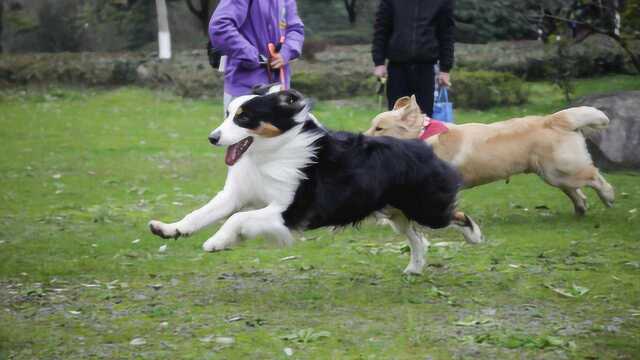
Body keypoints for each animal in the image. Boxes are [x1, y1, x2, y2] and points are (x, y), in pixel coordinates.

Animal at [364, 95, 616, 215]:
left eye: (379, 128)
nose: (361, 139)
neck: (422, 138)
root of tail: (555, 118)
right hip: (554, 174)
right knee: (578, 193)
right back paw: (580, 210)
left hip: (561, 170)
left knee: (595, 177)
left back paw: (608, 197)